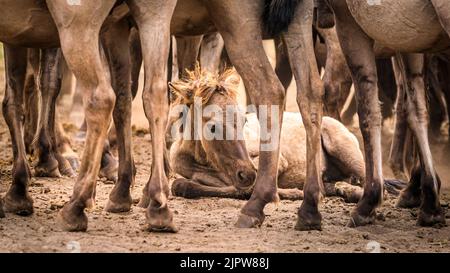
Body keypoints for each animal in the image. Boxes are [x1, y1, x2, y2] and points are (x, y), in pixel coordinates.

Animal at [169, 67, 404, 201]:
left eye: (243, 120)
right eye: (213, 127)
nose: (246, 174)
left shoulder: (275, 160)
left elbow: (245, 187)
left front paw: (290, 193)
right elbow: (183, 184)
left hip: (347, 152)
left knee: (376, 186)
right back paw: (340, 189)